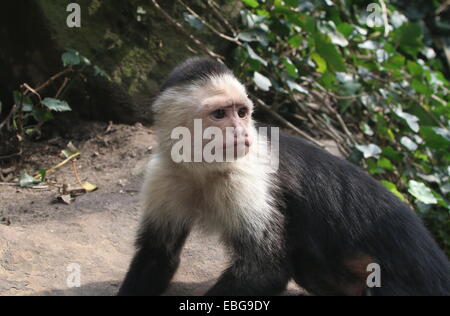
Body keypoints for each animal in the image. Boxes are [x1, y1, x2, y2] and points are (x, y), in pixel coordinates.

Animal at [119, 56, 450, 296]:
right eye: (219, 114)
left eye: (241, 113)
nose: (240, 132)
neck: (202, 169)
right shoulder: (165, 174)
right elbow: (158, 254)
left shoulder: (245, 180)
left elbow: (265, 269)